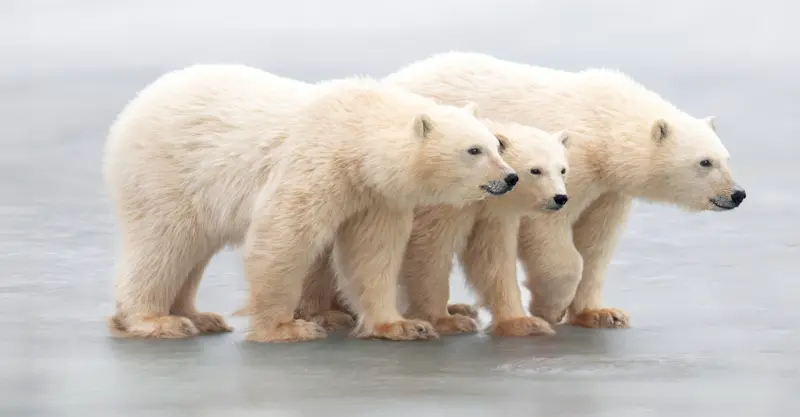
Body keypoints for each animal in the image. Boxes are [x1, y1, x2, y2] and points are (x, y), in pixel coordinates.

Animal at [103, 63, 517, 342]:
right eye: (474, 149)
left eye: (496, 145)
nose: (510, 177)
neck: (356, 134)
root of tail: (134, 105)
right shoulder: (316, 161)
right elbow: (282, 233)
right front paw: (285, 327)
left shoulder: (375, 195)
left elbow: (373, 253)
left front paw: (401, 324)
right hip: (166, 172)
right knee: (164, 243)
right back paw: (155, 320)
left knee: (193, 250)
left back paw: (200, 316)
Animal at [380, 51, 747, 330]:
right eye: (704, 162)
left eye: (726, 158)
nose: (737, 194)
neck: (603, 125)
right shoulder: (569, 164)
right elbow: (551, 235)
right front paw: (550, 308)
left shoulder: (608, 189)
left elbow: (597, 241)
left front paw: (601, 313)